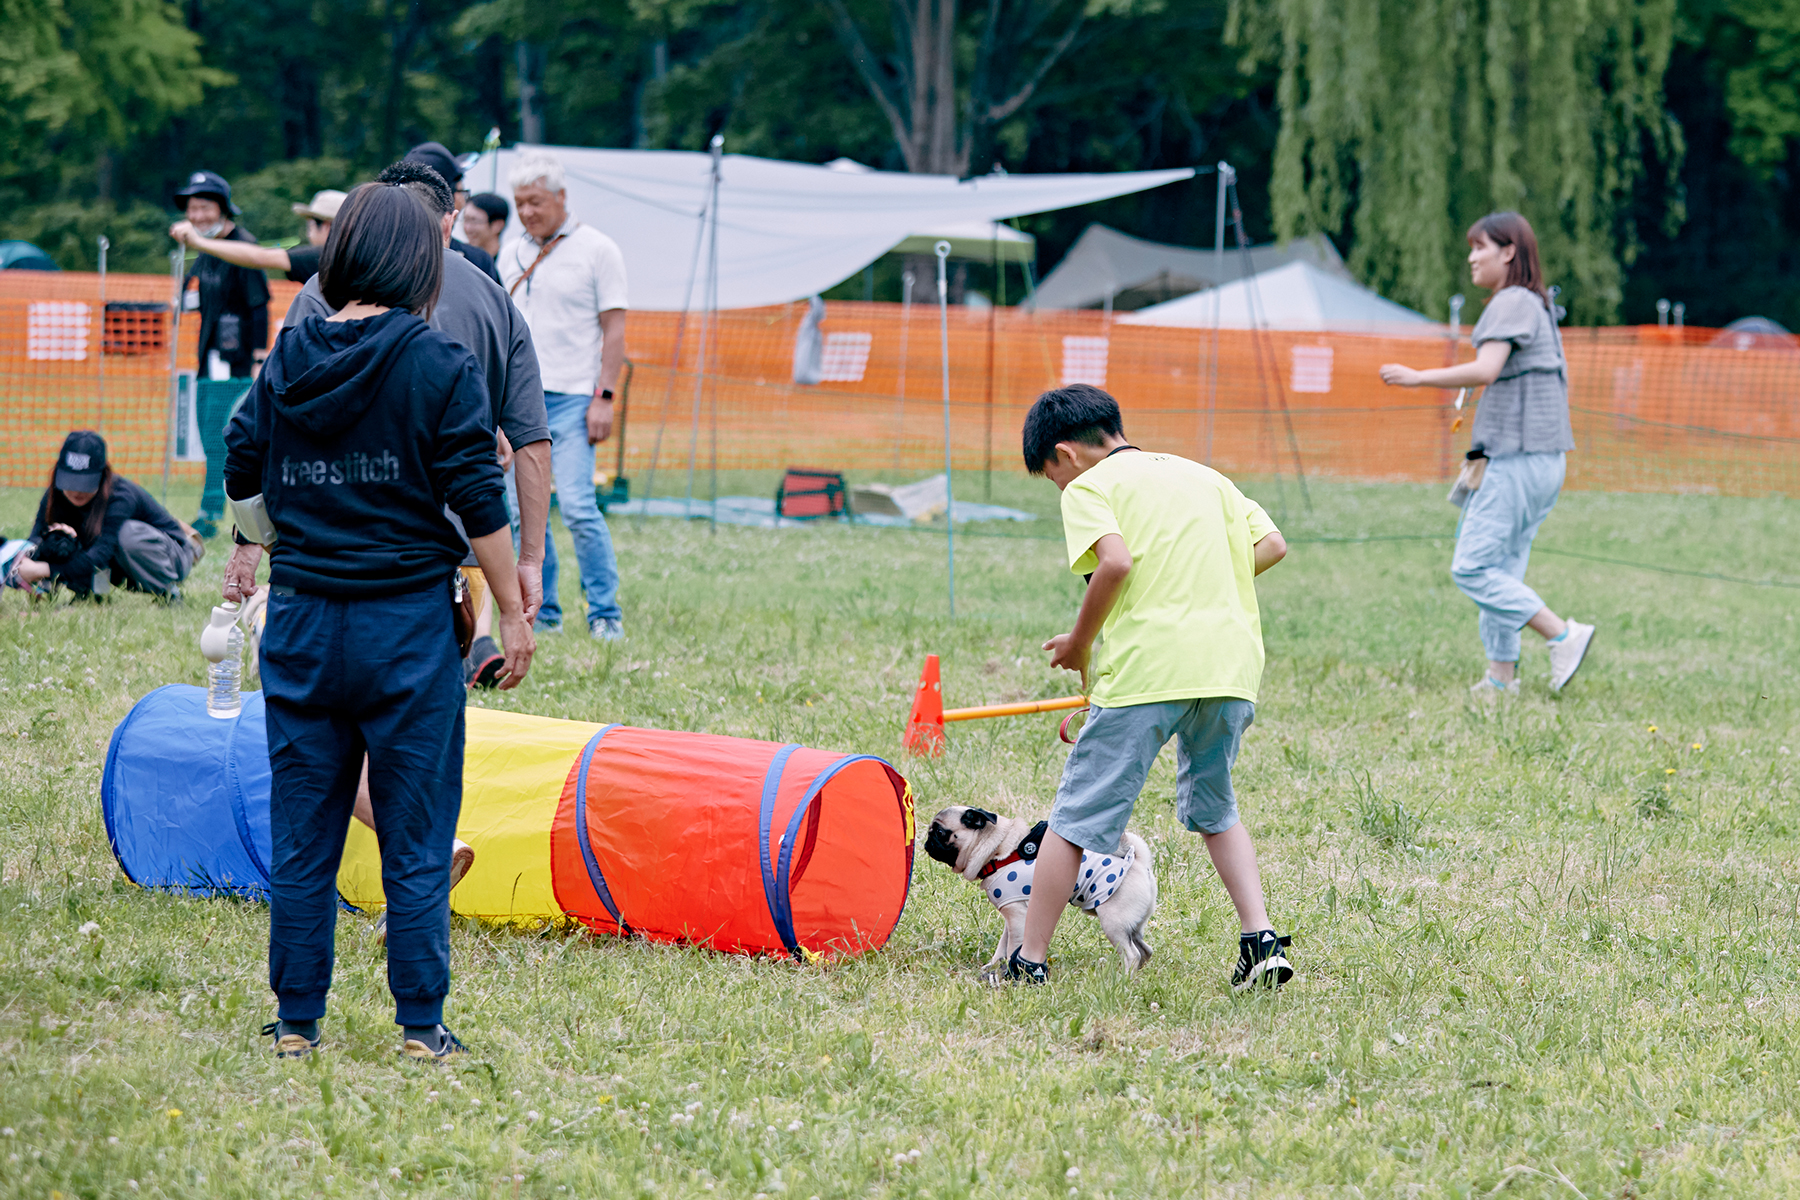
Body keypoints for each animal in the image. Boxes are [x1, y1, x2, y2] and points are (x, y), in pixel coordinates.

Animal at [921, 805, 1159, 978]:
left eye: (940, 832)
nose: (926, 842)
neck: (998, 850)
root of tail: (1139, 863)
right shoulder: (1012, 915)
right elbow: (1002, 946)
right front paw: (994, 965)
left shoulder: (1017, 917)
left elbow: (1011, 947)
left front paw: (1009, 973)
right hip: (1132, 926)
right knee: (1145, 950)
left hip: (1113, 923)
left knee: (1132, 954)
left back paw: (1123, 980)